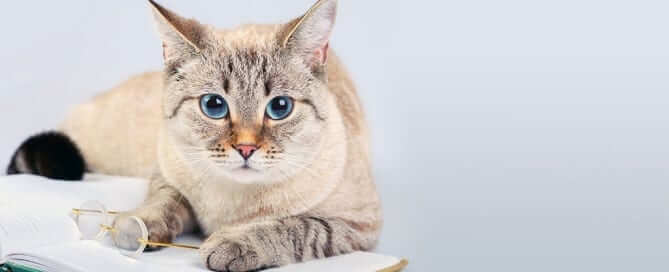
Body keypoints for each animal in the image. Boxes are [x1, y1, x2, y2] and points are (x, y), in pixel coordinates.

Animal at [5, 0, 380, 272]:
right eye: (213, 105)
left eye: (280, 107)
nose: (246, 148)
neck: (231, 204)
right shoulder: (167, 171)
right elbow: (163, 201)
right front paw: (138, 226)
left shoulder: (358, 224)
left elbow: (294, 226)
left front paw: (233, 243)